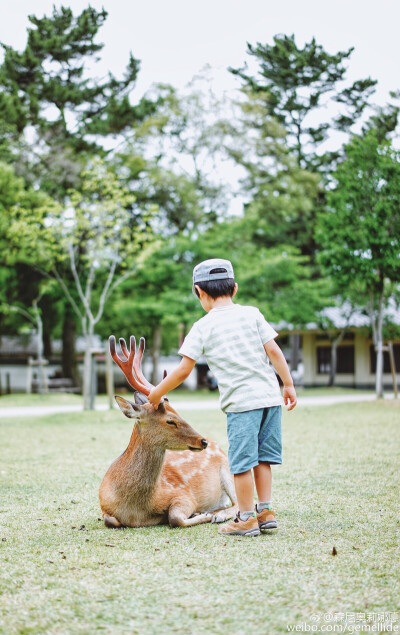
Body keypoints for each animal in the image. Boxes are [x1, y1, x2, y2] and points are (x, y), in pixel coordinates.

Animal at [98, 336, 236, 528]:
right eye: (170, 420)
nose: (203, 441)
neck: (136, 510)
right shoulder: (104, 507)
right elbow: (111, 520)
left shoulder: (183, 494)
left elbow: (175, 517)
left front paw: (204, 514)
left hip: (228, 470)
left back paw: (219, 515)